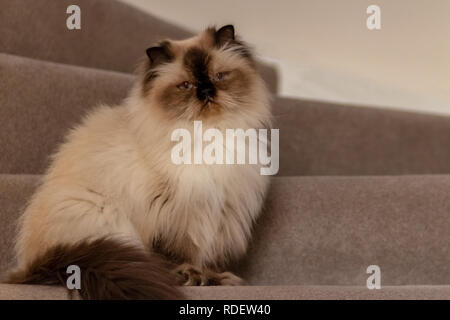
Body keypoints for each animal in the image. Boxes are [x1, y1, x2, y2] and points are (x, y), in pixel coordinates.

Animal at [7, 25, 272, 300]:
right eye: (186, 85)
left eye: (219, 77)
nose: (207, 93)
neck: (210, 135)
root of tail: (31, 266)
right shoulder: (176, 214)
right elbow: (178, 254)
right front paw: (191, 276)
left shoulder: (221, 211)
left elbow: (207, 257)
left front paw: (216, 278)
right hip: (102, 213)